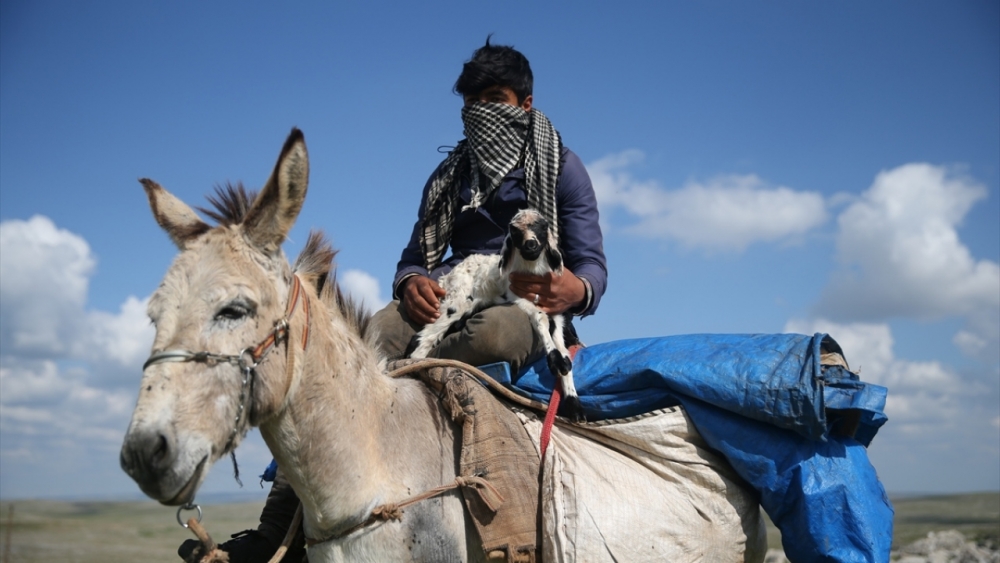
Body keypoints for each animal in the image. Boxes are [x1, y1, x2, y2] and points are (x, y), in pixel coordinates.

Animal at [410, 209, 584, 420]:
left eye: (542, 226)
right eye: (514, 230)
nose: (530, 245)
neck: (532, 269)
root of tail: (450, 275)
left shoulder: (556, 311)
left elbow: (563, 348)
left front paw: (573, 402)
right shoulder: (520, 298)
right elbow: (540, 319)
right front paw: (555, 361)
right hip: (456, 302)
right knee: (427, 336)